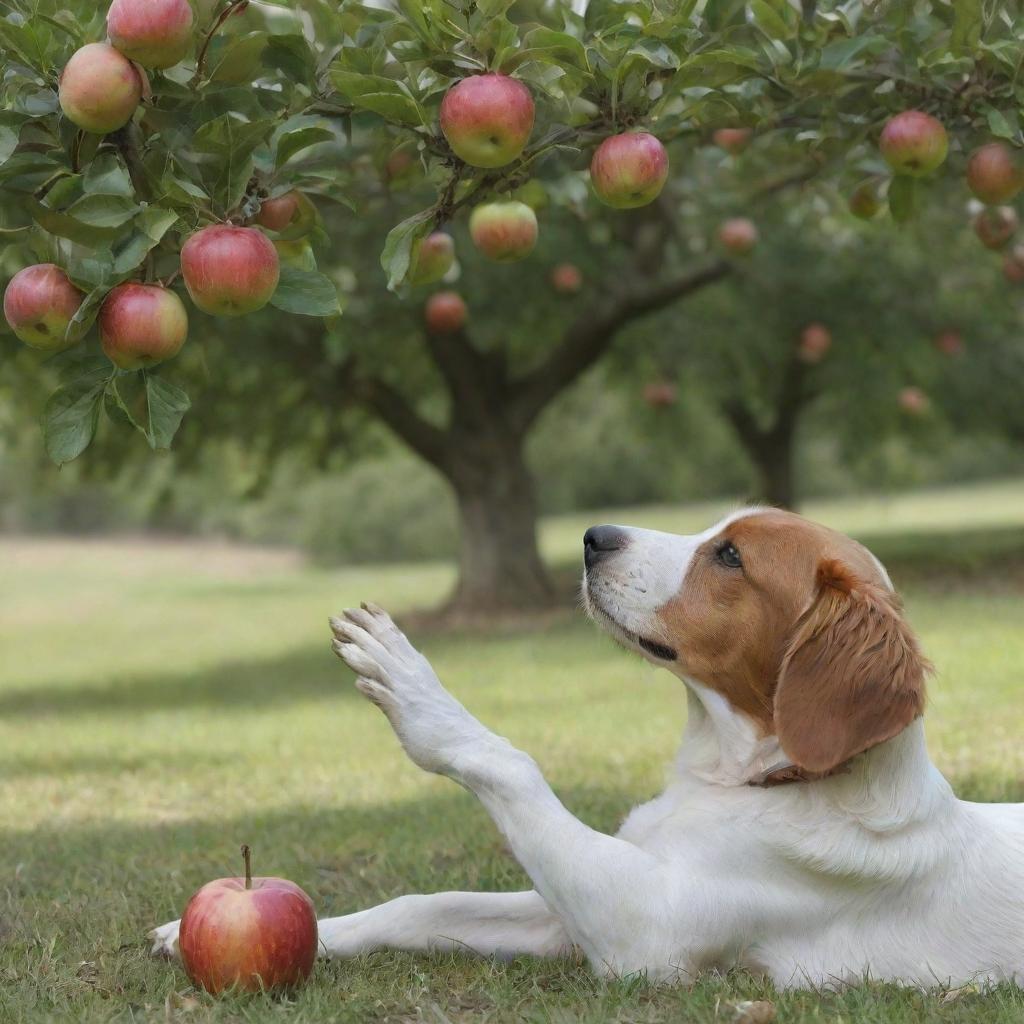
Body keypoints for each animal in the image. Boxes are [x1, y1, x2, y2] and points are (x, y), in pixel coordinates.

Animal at [151, 512, 1024, 991]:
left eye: (730, 556)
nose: (593, 537)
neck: (758, 781)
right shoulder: (570, 912)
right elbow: (425, 904)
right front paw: (311, 936)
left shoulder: (647, 935)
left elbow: (510, 765)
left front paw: (421, 692)